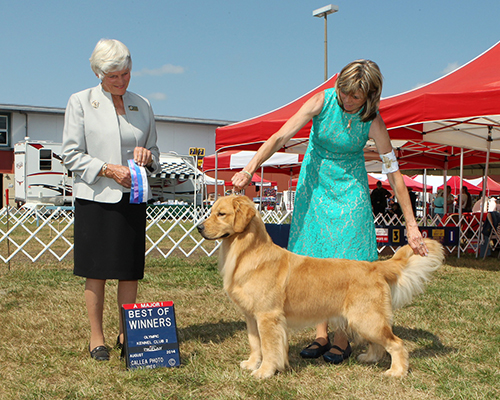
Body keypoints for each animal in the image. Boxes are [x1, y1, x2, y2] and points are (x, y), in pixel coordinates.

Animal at [197, 195, 444, 380]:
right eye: (210, 211)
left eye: (221, 214)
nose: (199, 228)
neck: (248, 253)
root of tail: (375, 267)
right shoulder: (251, 316)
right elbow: (255, 344)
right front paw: (251, 364)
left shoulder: (268, 317)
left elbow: (268, 348)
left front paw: (264, 372)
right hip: (365, 319)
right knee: (380, 344)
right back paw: (370, 358)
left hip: (366, 319)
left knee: (397, 343)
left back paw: (396, 371)